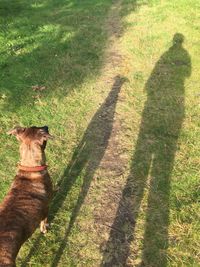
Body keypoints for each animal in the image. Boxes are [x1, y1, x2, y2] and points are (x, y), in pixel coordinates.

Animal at [0, 126, 53, 266]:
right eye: (42, 129)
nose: (46, 126)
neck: (30, 168)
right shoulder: (46, 208)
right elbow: (43, 222)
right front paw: (44, 230)